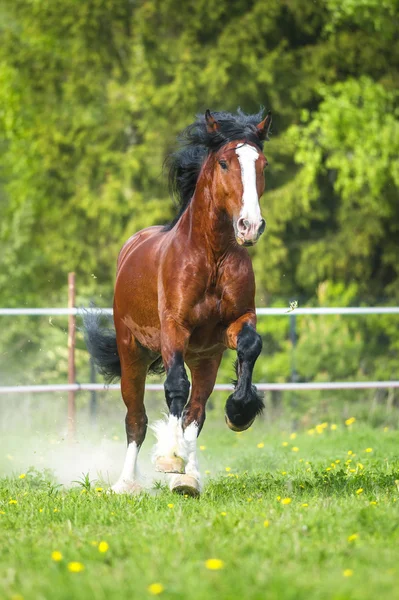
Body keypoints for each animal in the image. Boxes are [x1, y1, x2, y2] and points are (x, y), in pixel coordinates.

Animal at [84, 108, 272, 496]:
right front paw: (170, 459)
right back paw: (127, 483)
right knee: (136, 418)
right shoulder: (174, 328)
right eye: (224, 162)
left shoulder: (233, 325)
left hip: (206, 359)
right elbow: (174, 387)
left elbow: (250, 346)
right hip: (133, 353)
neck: (211, 256)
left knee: (195, 411)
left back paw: (189, 478)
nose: (250, 226)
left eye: (262, 163)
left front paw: (240, 411)